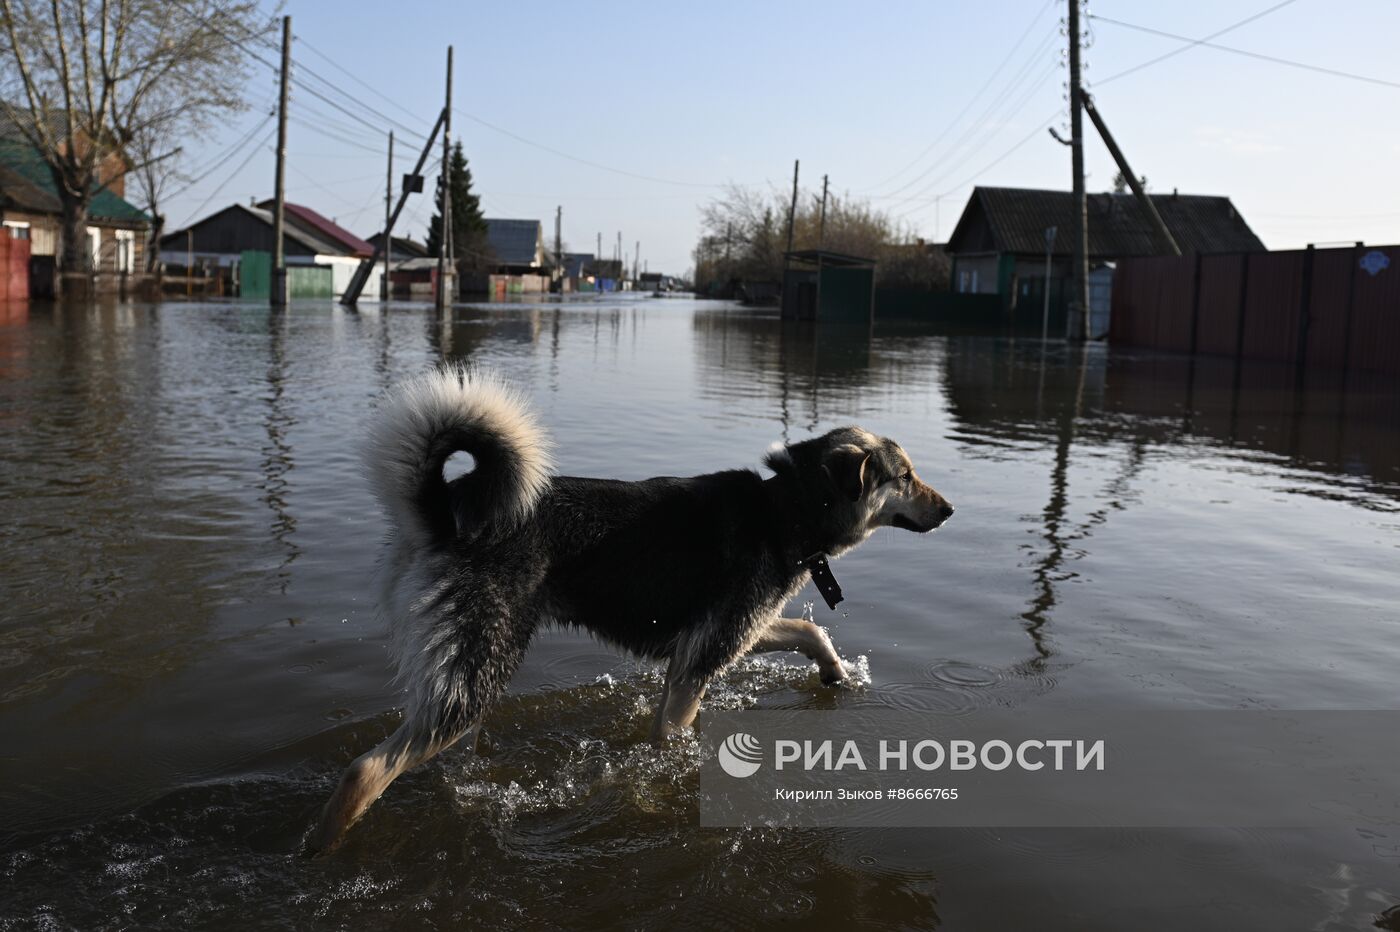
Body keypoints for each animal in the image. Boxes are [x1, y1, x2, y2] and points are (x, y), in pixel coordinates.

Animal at [309, 363, 952, 850]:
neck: (785, 510)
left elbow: (809, 633)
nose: (949, 511)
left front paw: (836, 673)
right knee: (365, 770)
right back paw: (324, 848)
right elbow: (673, 741)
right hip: (480, 669)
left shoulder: (723, 638)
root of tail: (444, 512)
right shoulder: (702, 660)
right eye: (905, 476)